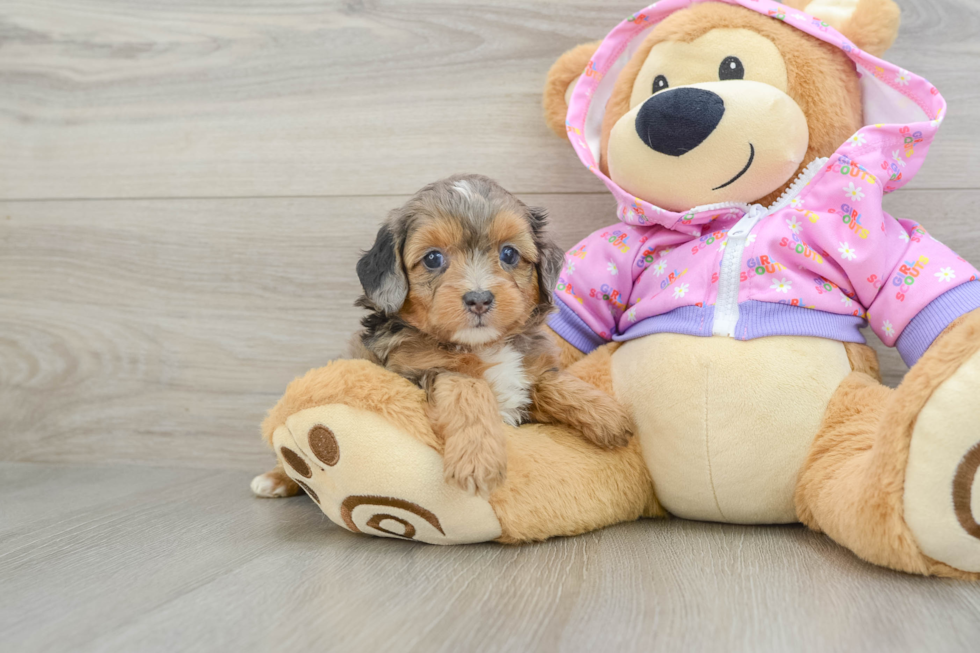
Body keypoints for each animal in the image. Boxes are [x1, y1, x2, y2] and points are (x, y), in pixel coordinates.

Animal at [348, 173, 632, 494]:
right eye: (433, 259)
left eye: (509, 254)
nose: (479, 299)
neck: (483, 346)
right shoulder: (414, 370)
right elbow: (469, 387)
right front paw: (477, 458)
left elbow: (549, 380)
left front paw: (606, 414)